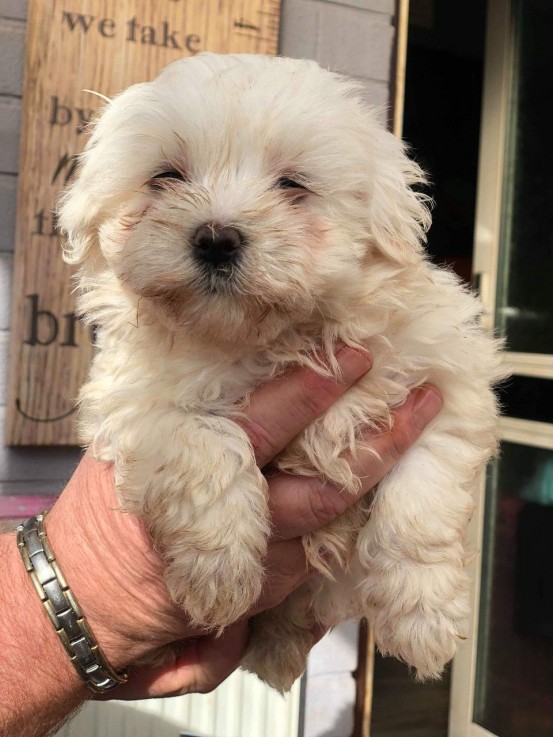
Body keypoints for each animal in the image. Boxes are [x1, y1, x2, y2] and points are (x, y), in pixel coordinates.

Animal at [58, 53, 502, 688]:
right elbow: (205, 442)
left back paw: (280, 648)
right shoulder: (137, 403)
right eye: (165, 177)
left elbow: (420, 503)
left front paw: (424, 617)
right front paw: (220, 573)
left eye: (293, 185)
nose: (216, 238)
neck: (278, 339)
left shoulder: (442, 388)